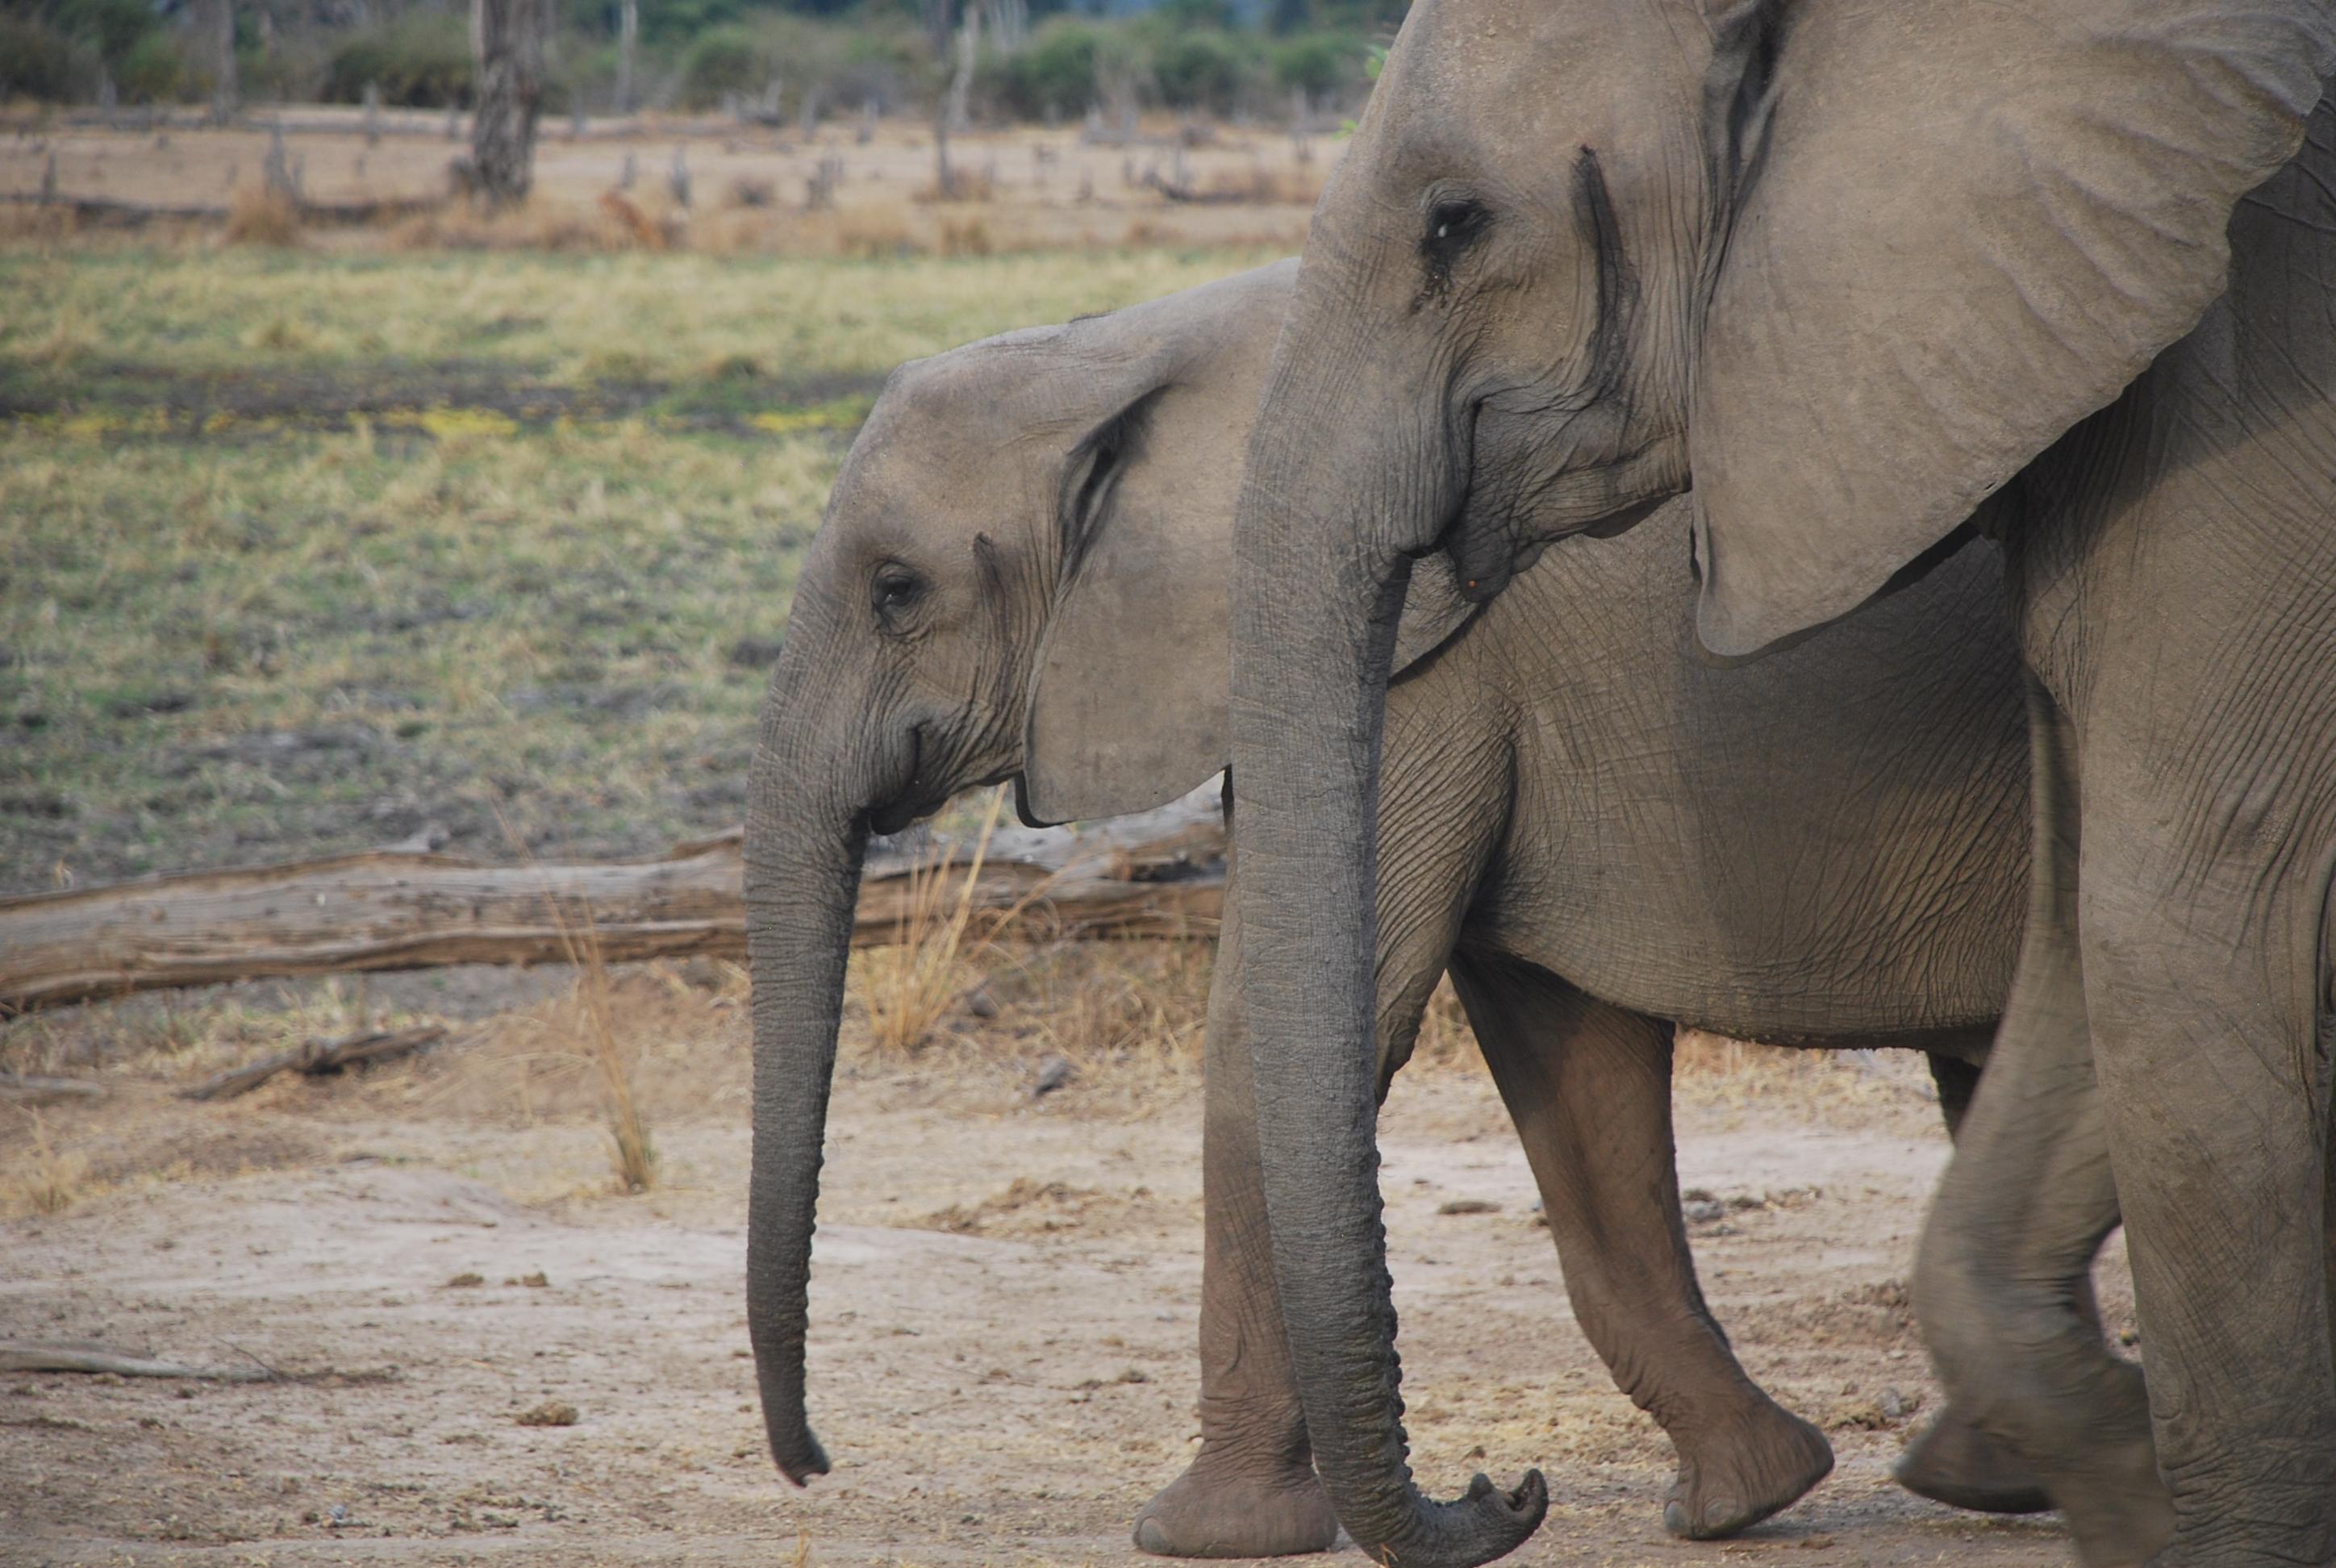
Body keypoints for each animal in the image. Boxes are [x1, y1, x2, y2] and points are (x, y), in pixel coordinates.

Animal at [742, 261, 2046, 1561]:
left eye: (897, 592)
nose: (814, 1467)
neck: (1145, 349)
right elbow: (1568, 1054)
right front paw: (1746, 1496)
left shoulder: (1424, 664)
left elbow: (1273, 1032)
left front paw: (1205, 1535)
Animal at [1214, 0, 2336, 1561]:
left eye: (1452, 224)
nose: (1508, 1487)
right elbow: (2079, 953)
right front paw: (2122, 1471)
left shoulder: (2261, 422)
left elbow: (2183, 940)